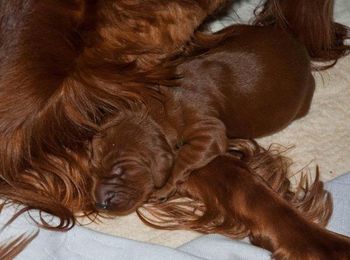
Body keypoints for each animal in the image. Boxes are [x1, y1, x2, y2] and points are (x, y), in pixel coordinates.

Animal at [91, 24, 314, 215]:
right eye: (95, 168)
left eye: (120, 171)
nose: (99, 203)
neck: (155, 106)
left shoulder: (208, 130)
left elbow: (184, 157)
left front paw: (166, 185)